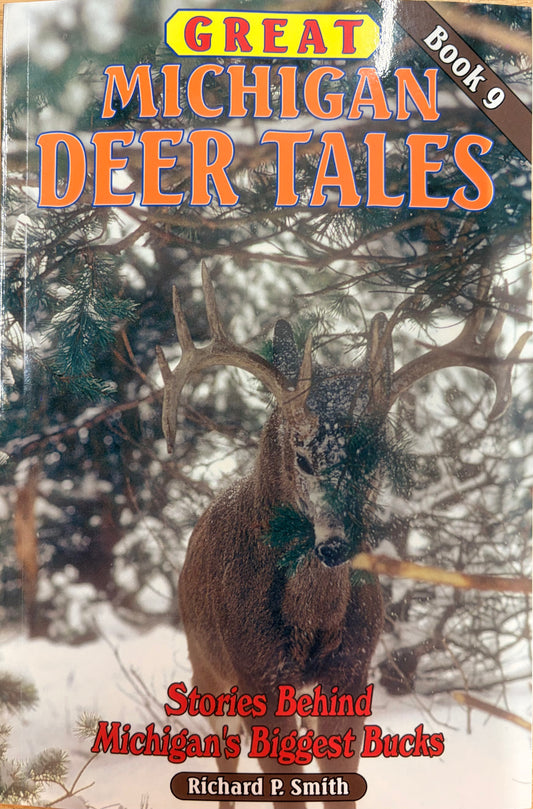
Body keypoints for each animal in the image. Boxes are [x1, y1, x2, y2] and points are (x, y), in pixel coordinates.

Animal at [156, 264, 530, 809]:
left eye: (371, 457)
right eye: (303, 456)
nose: (335, 545)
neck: (312, 620)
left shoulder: (352, 668)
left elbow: (340, 778)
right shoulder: (258, 671)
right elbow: (284, 784)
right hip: (207, 669)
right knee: (224, 754)